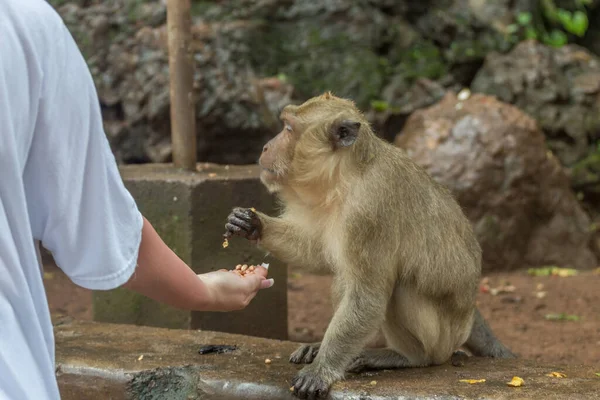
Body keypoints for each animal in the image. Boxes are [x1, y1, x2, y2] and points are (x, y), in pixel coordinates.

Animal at [223, 91, 512, 400]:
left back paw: (408, 357)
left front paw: (321, 371)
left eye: (288, 129)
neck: (347, 175)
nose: (266, 147)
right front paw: (252, 224)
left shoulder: (368, 213)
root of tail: (469, 314)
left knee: (399, 287)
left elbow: (368, 296)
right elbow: (314, 251)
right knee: (344, 276)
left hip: (444, 339)